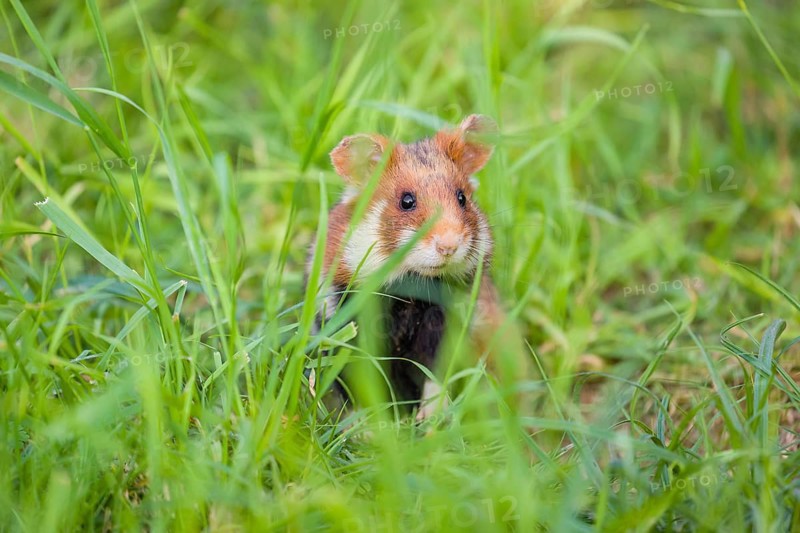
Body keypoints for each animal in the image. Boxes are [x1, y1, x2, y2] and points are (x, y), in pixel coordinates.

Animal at [307, 115, 525, 420]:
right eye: (406, 201)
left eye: (462, 198)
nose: (448, 246)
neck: (410, 286)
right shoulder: (344, 323)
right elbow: (359, 385)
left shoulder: (446, 324)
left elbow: (436, 375)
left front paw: (429, 420)